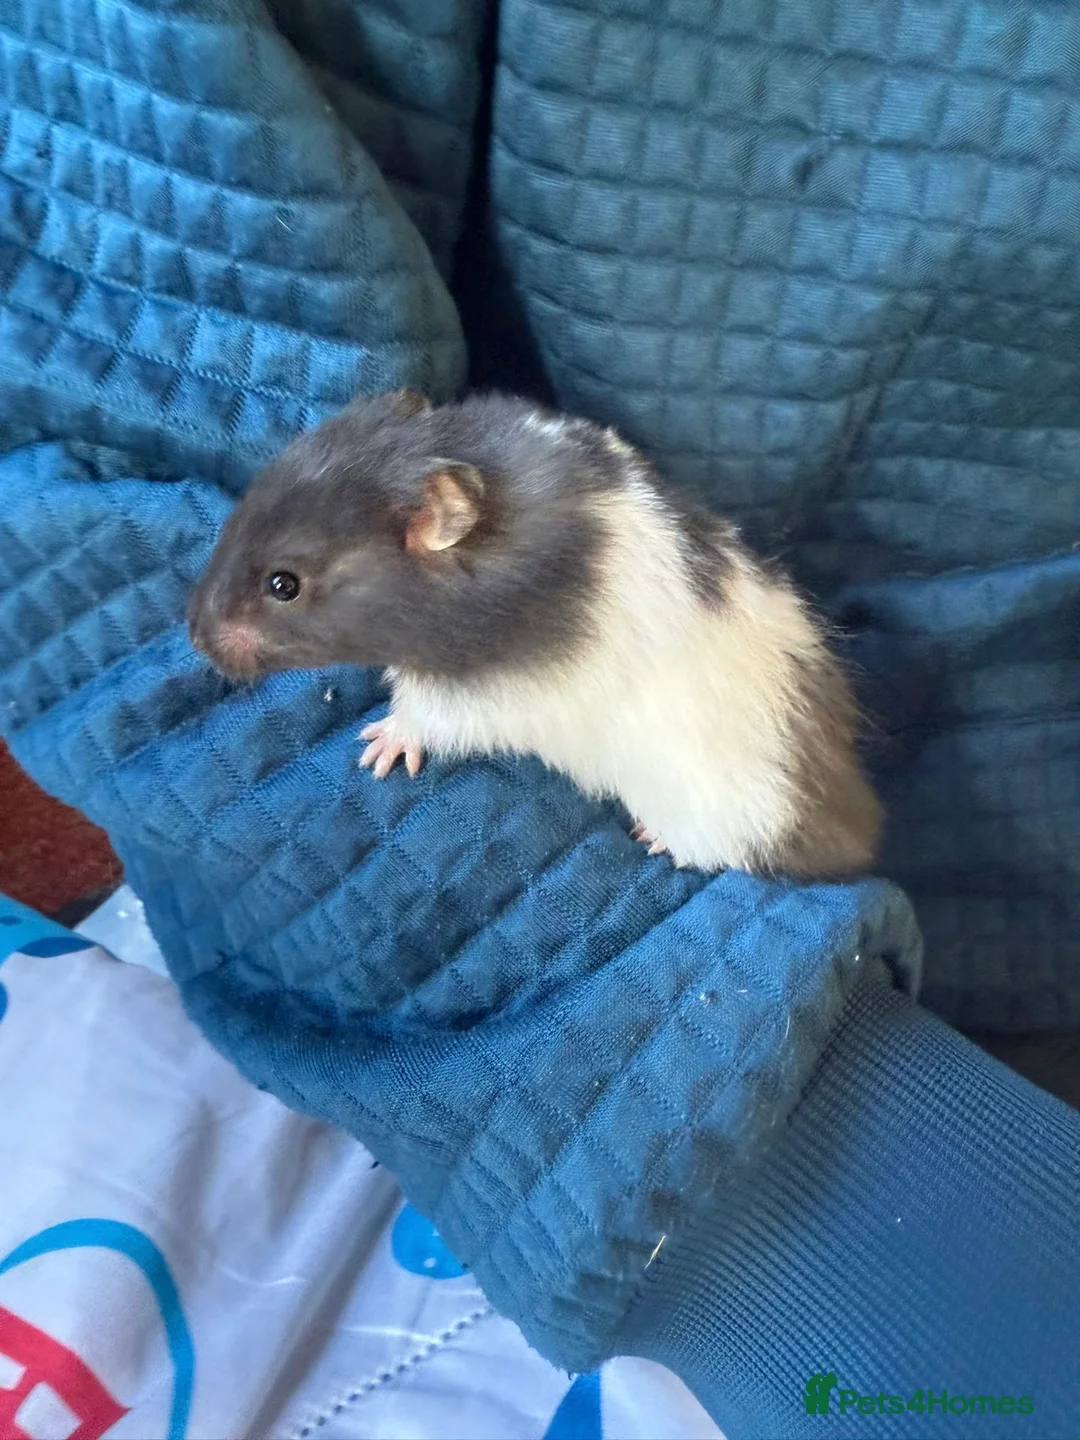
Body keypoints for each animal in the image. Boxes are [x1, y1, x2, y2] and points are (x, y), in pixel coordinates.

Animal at [189, 389, 882, 877]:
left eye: (284, 585)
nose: (194, 635)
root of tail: (852, 822)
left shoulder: (482, 699)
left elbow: (419, 718)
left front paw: (377, 748)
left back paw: (655, 839)